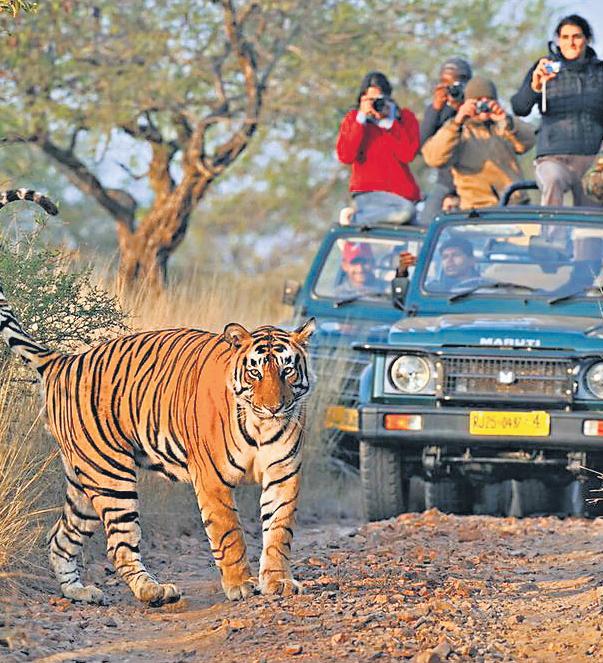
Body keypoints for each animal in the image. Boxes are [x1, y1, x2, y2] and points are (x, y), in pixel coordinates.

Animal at [0, 190, 315, 606]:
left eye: (287, 371)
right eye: (255, 372)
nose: (274, 406)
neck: (260, 425)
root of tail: (63, 360)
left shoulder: (283, 473)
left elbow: (279, 532)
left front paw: (278, 581)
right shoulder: (211, 480)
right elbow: (229, 534)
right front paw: (241, 585)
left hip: (83, 481)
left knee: (60, 538)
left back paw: (81, 591)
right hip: (110, 475)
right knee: (119, 544)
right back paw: (153, 591)